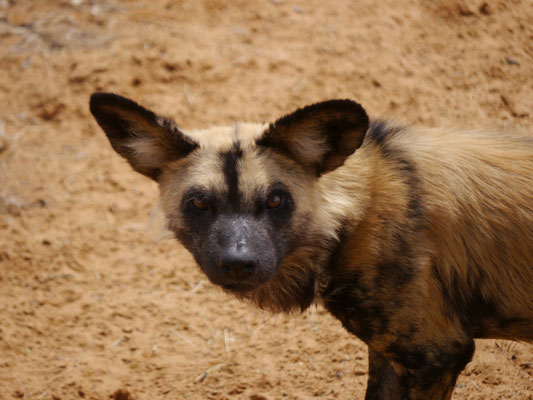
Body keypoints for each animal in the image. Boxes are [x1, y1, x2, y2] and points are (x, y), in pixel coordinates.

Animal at [89, 92, 528, 398]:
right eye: (199, 203)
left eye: (275, 200)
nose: (238, 262)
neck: (358, 212)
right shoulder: (393, 355)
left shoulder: (436, 355)